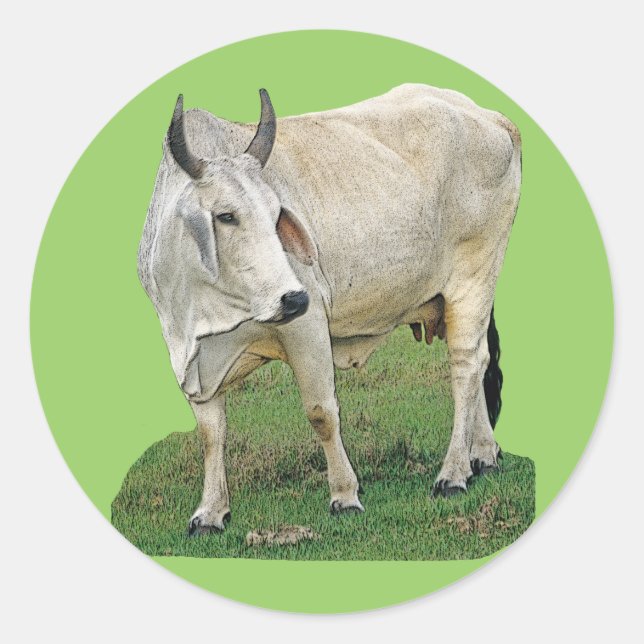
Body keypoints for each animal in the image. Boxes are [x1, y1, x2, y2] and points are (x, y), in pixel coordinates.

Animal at [137, 83, 521, 535]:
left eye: (276, 215)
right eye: (225, 215)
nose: (293, 298)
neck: (206, 313)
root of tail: (493, 117)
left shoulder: (306, 328)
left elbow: (321, 412)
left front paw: (345, 495)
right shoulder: (191, 359)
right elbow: (211, 433)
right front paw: (210, 513)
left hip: (474, 279)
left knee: (465, 366)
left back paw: (454, 473)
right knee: (480, 362)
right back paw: (483, 455)